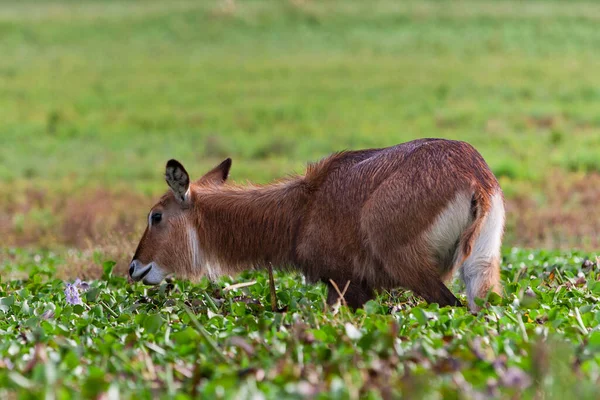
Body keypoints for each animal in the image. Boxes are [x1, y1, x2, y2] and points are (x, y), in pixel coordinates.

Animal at [129, 139, 504, 310]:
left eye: (156, 215)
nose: (134, 268)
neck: (302, 208)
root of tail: (474, 175)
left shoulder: (347, 284)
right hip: (482, 266)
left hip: (411, 267)